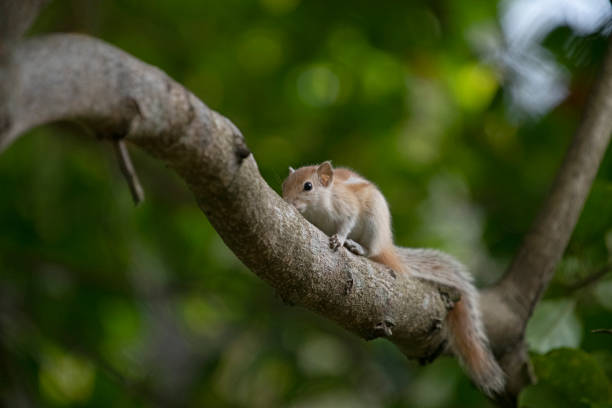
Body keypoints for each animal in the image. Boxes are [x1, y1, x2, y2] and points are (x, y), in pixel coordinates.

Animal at [282, 161, 506, 396]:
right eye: (284, 184)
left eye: (308, 186)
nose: (286, 201)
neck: (318, 209)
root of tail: (386, 245)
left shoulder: (347, 207)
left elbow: (346, 224)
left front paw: (340, 239)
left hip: (373, 225)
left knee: (372, 251)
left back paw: (357, 247)